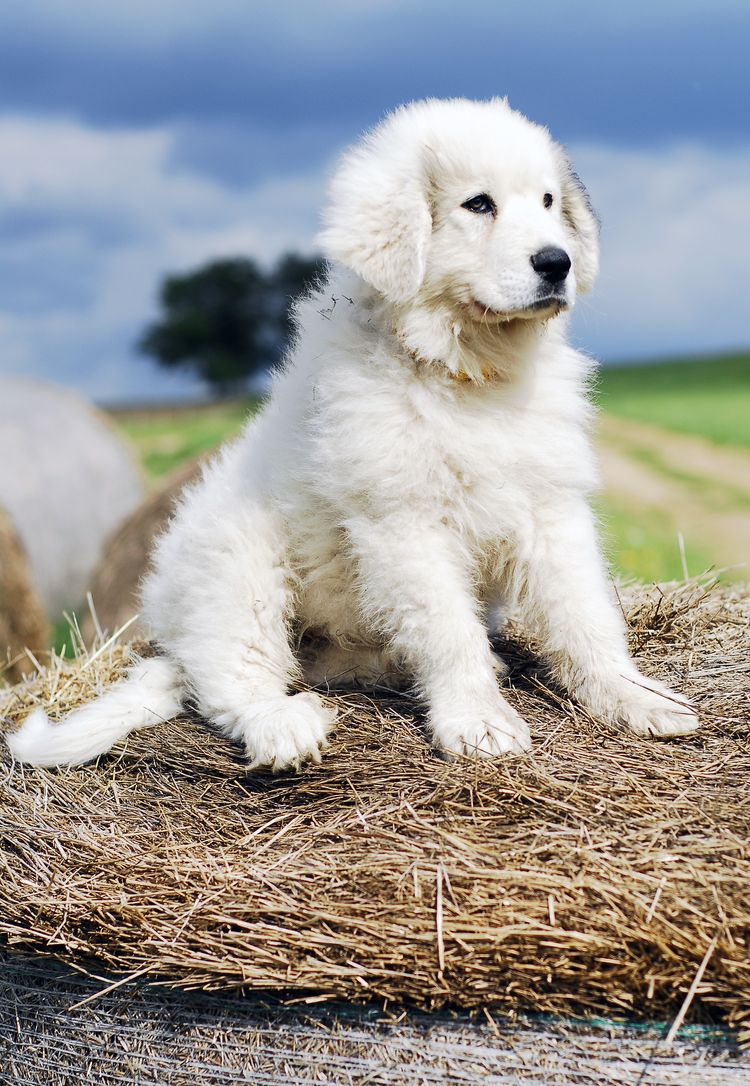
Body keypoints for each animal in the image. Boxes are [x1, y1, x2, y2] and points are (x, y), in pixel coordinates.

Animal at [7, 97, 698, 768]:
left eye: (550, 202)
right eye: (479, 204)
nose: (558, 263)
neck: (466, 372)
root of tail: (170, 640)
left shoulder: (550, 506)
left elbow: (585, 616)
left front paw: (634, 698)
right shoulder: (405, 521)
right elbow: (448, 630)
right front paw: (478, 721)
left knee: (321, 661)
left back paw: (396, 667)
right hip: (235, 563)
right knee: (232, 678)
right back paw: (283, 726)